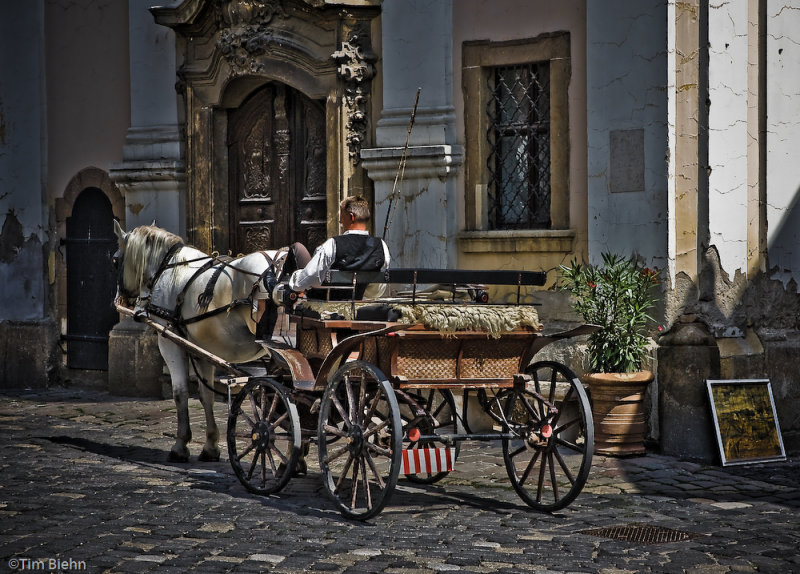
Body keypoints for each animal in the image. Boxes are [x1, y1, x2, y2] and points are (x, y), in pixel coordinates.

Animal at [114, 223, 282, 466]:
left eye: (114, 260)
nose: (125, 301)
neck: (168, 269)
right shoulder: (203, 350)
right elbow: (206, 395)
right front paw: (211, 446)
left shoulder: (169, 341)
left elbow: (180, 392)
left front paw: (180, 446)